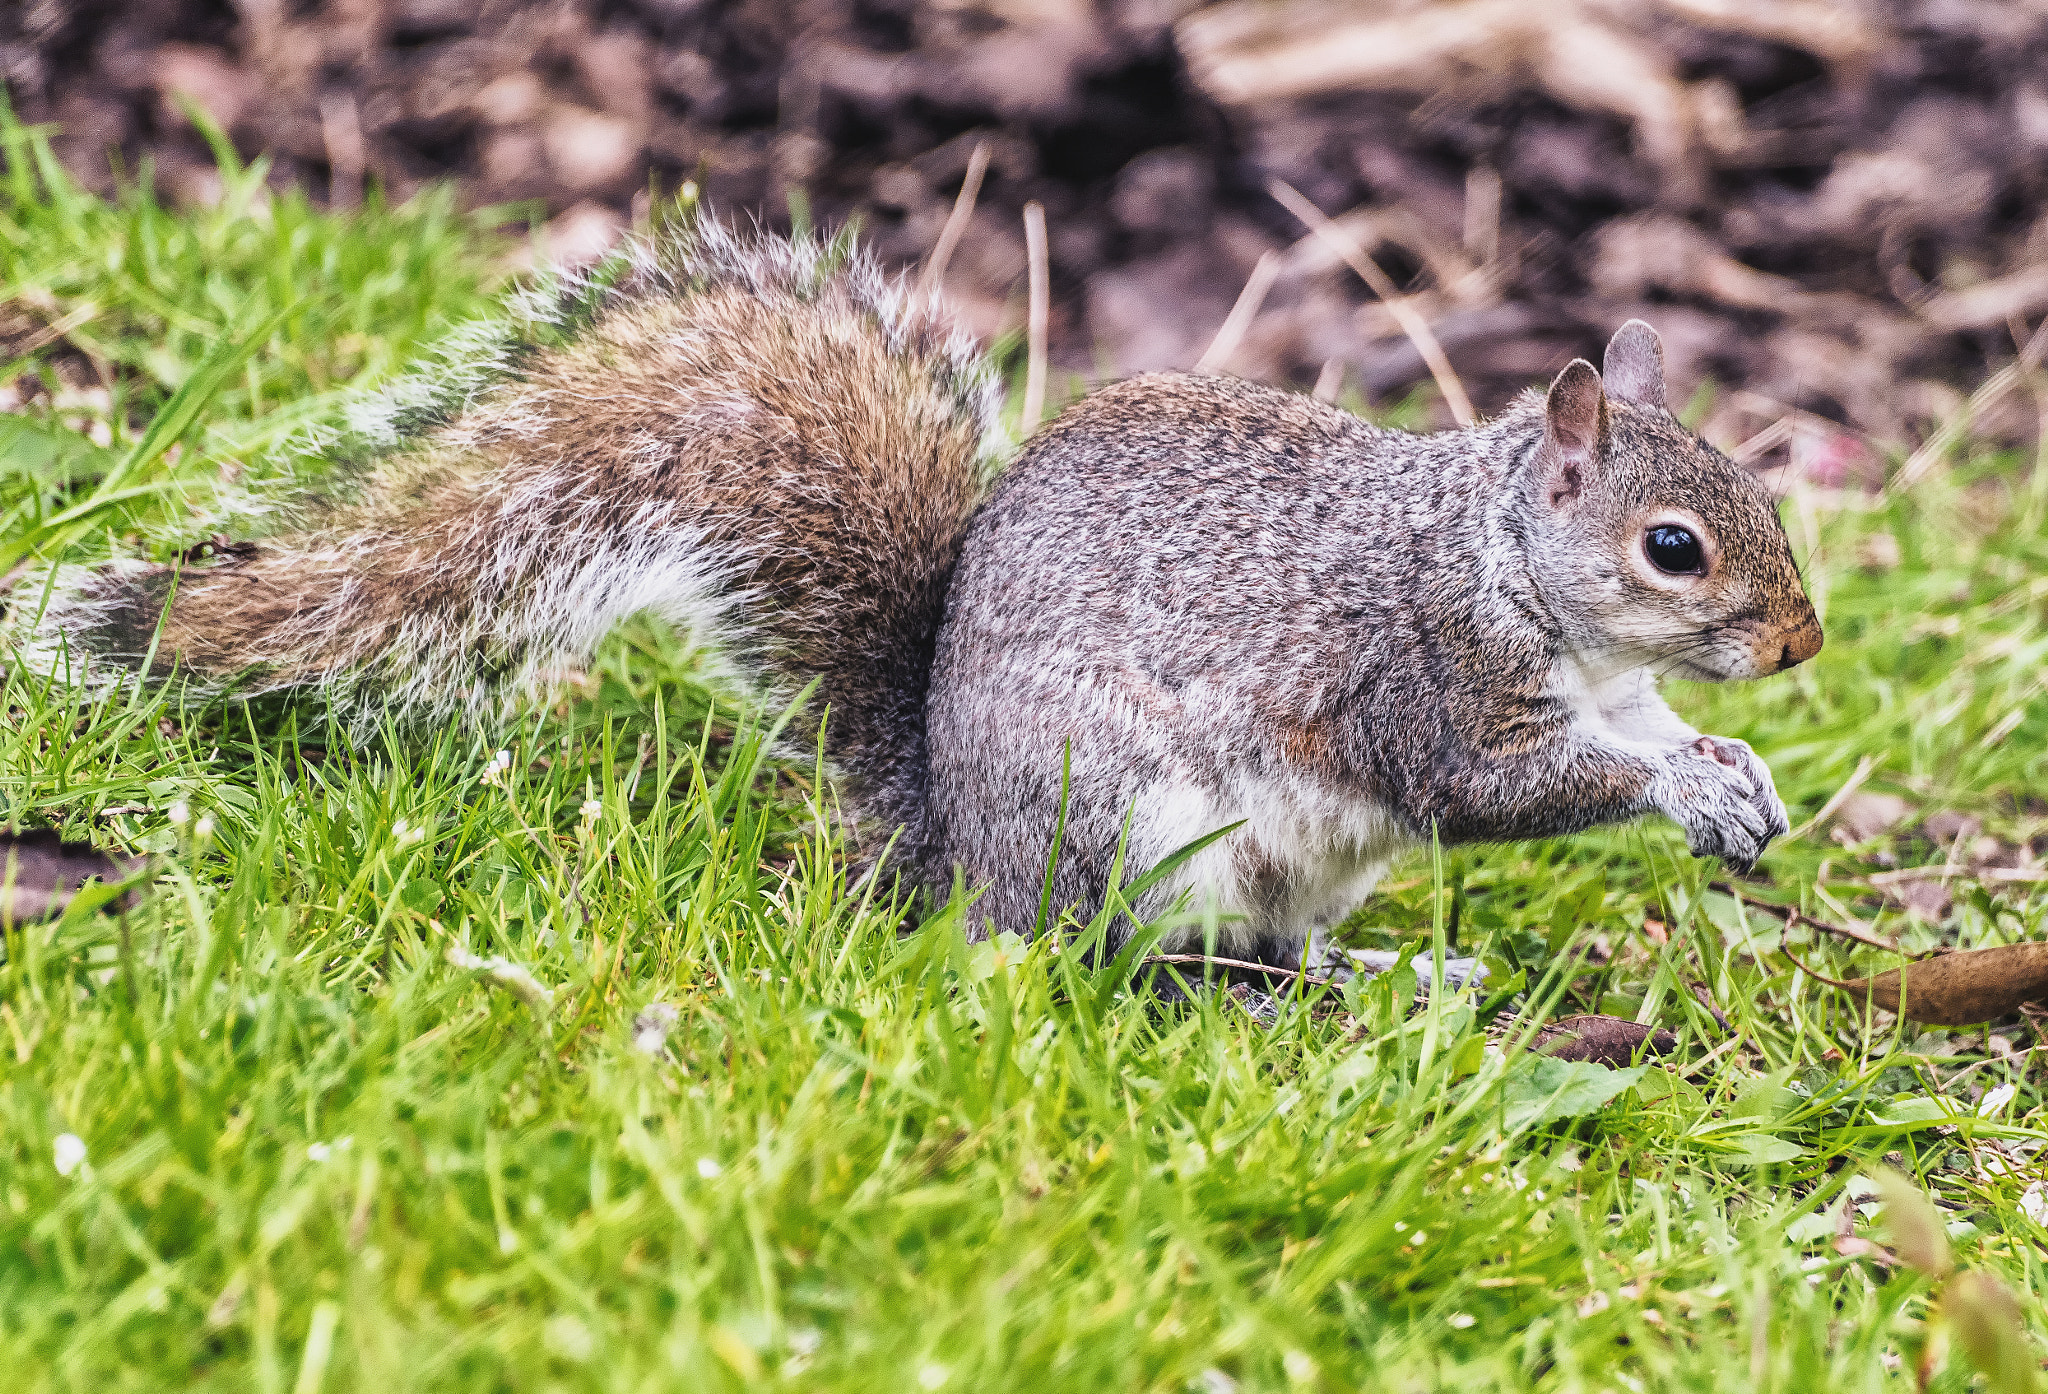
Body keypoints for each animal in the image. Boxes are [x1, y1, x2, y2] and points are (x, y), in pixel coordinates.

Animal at [24, 225, 1826, 966]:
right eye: (1675, 545)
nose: (1801, 641)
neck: (1505, 561)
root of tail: (955, 847)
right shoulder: (1422, 676)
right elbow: (1486, 784)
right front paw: (1683, 786)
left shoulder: (1601, 684)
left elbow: (1643, 735)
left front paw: (1731, 774)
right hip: (1130, 817)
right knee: (1120, 962)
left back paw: (1377, 978)